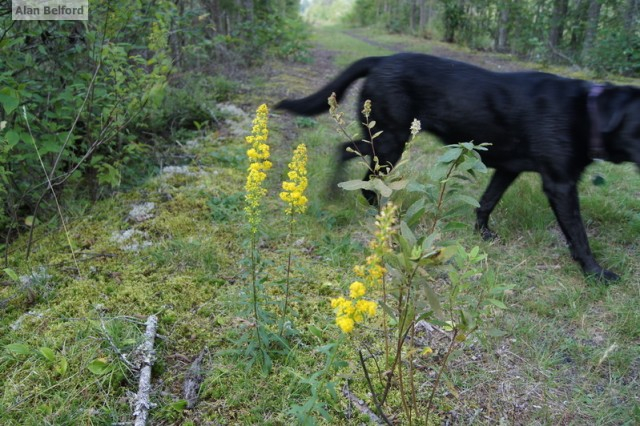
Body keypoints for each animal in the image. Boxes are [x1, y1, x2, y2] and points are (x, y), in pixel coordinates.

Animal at [278, 52, 640, 280]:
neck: (587, 112)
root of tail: (380, 60)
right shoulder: (560, 184)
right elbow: (578, 234)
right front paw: (596, 272)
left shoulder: (509, 169)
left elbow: (487, 201)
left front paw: (483, 233)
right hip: (390, 138)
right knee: (345, 151)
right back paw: (335, 196)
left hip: (389, 141)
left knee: (370, 177)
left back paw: (379, 209)